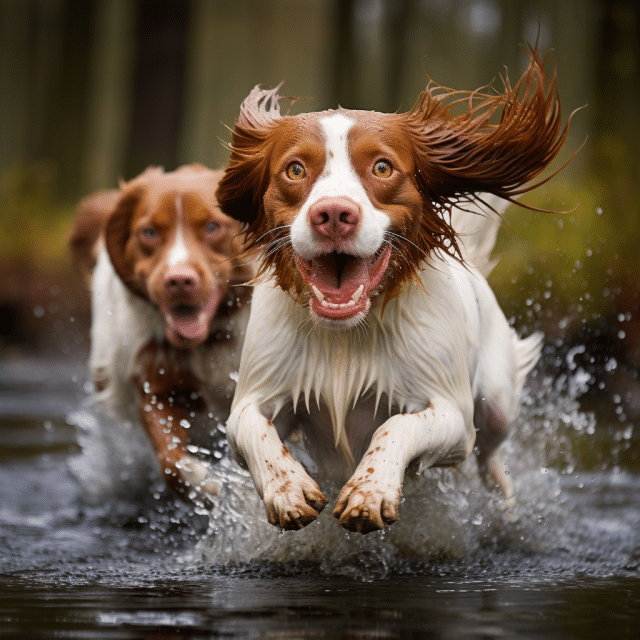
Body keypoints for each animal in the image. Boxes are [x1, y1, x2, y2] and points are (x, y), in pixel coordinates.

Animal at [68, 166, 252, 504]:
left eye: (212, 227)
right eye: (150, 233)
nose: (179, 280)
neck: (210, 341)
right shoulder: (156, 386)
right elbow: (170, 460)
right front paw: (201, 483)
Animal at [214, 47, 568, 532]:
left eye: (382, 167)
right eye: (295, 169)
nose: (333, 214)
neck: (346, 336)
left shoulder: (452, 414)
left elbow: (397, 426)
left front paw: (371, 490)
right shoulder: (257, 394)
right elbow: (252, 428)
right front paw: (287, 490)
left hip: (497, 404)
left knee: (492, 456)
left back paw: (503, 503)